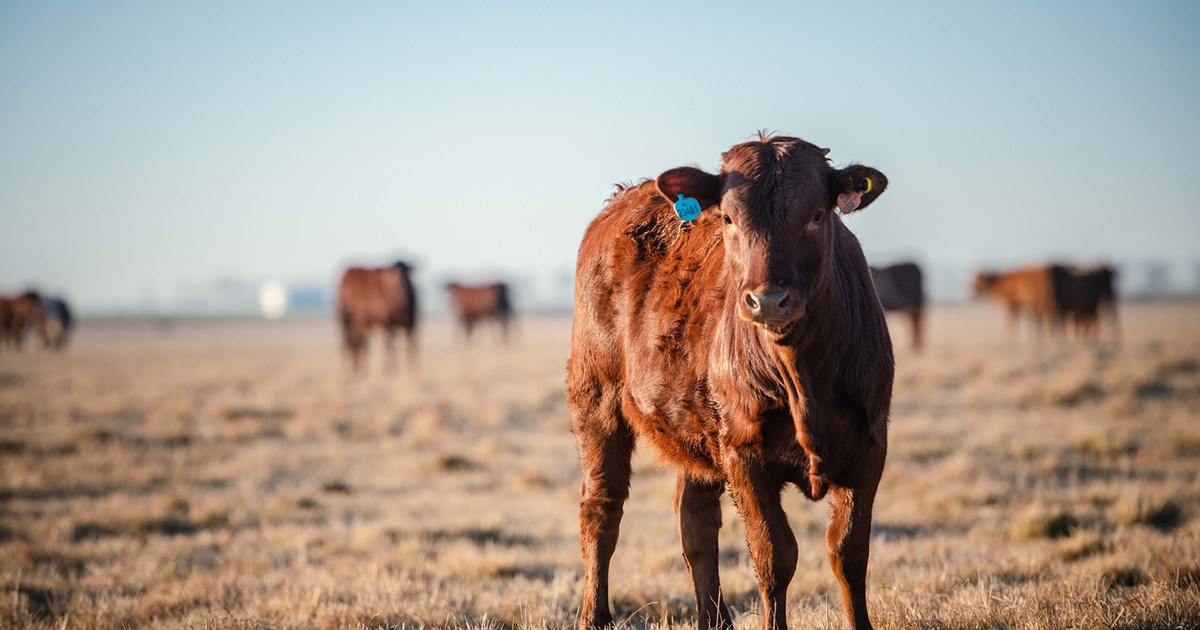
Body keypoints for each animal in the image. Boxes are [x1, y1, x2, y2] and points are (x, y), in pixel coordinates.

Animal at [568, 133, 892, 630]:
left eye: (818, 214)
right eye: (728, 218)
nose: (769, 300)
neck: (802, 379)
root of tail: (626, 196)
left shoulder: (870, 445)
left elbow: (848, 553)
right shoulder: (743, 452)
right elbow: (774, 556)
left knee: (695, 521)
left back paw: (713, 620)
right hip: (596, 402)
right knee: (601, 509)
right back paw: (594, 616)